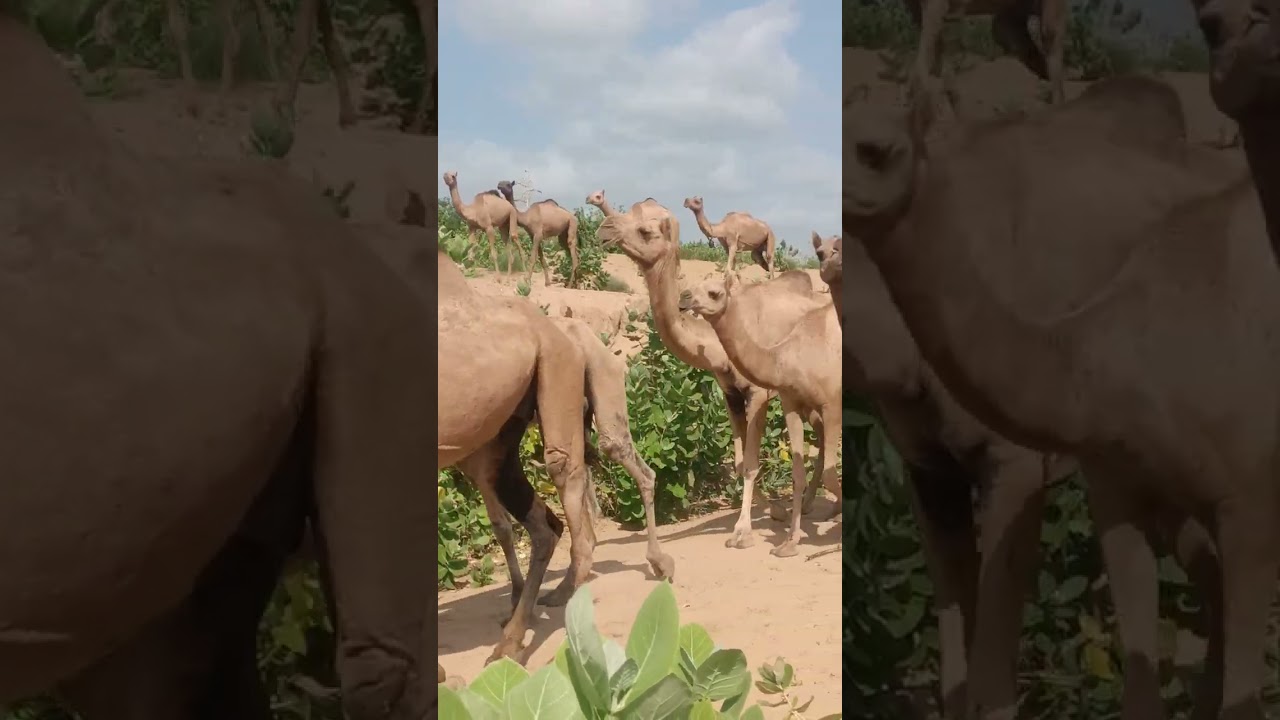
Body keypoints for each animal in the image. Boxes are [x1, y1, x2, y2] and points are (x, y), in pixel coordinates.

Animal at [597, 214, 833, 549]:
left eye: (645, 229)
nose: (605, 228)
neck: (715, 347)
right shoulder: (730, 393)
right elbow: (739, 463)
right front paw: (774, 510)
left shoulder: (758, 393)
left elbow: (750, 463)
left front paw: (743, 531)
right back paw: (813, 504)